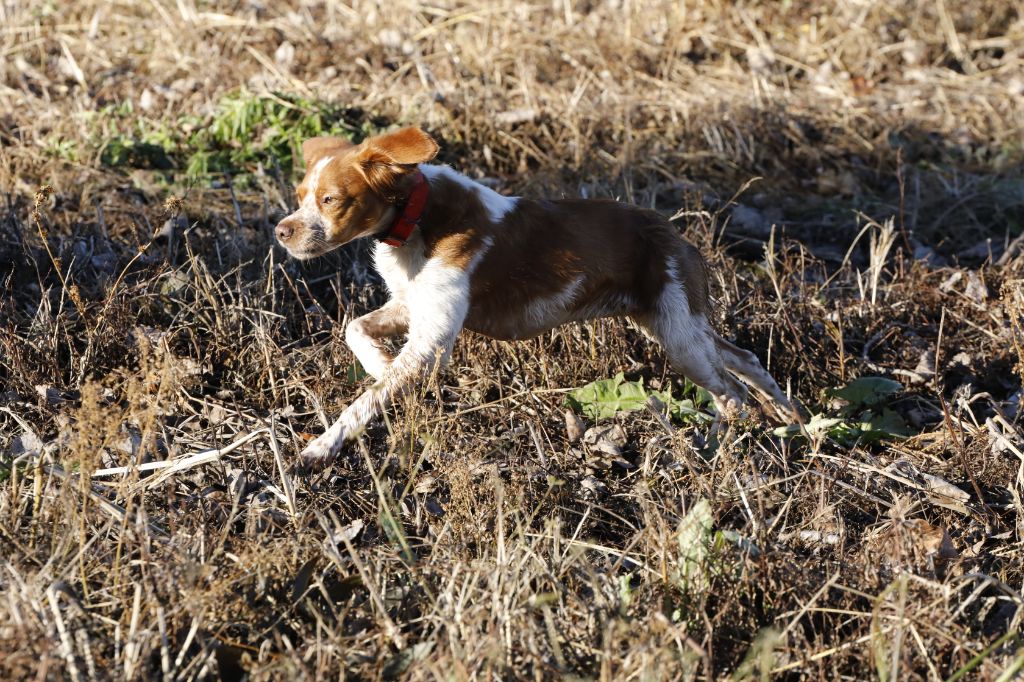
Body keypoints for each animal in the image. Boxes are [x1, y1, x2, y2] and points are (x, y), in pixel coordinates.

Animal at [275, 127, 795, 465]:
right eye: (300, 196)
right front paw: (381, 365)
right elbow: (355, 329)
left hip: (680, 337)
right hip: (674, 324)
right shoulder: (411, 307)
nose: (282, 231)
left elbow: (363, 404)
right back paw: (793, 415)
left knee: (731, 395)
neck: (417, 219)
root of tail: (675, 234)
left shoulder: (431, 341)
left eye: (331, 200)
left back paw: (718, 450)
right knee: (744, 359)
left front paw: (321, 446)